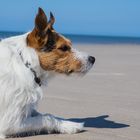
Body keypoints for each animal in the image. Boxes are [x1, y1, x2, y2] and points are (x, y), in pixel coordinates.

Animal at [0, 7, 95, 138]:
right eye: (64, 48)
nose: (93, 59)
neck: (26, 63)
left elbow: (43, 114)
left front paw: (68, 124)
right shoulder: (10, 122)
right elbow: (48, 117)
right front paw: (69, 126)